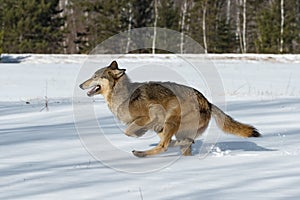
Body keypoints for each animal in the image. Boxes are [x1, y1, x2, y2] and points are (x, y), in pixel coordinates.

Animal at [79, 61, 260, 158]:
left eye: (95, 76)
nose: (80, 85)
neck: (122, 96)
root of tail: (208, 102)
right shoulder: (155, 125)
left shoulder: (150, 116)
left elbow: (128, 131)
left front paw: (138, 134)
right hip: (174, 127)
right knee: (180, 143)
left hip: (172, 117)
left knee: (164, 145)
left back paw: (141, 153)